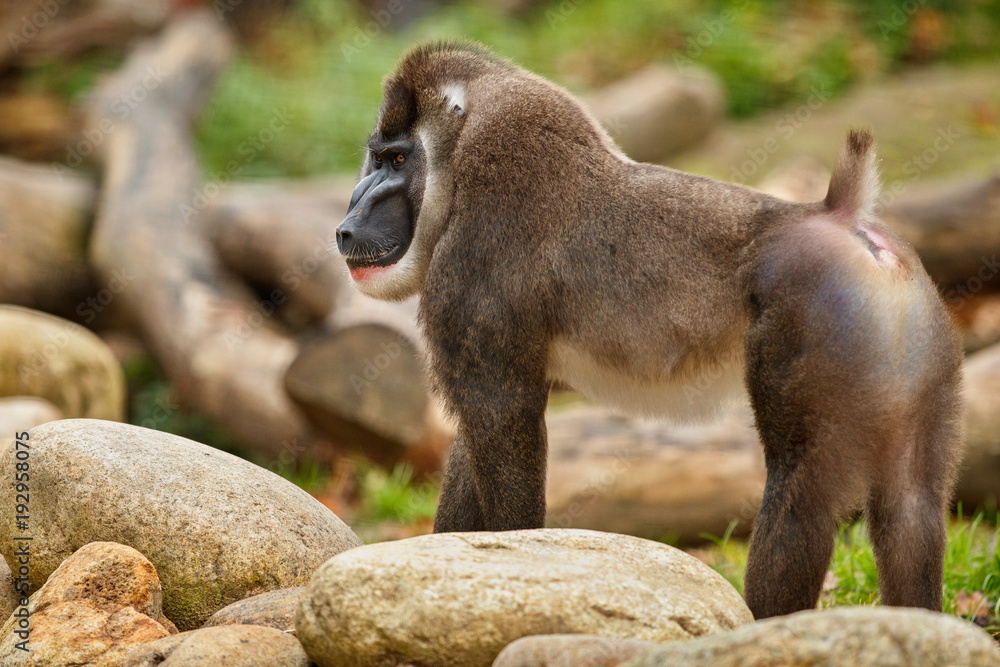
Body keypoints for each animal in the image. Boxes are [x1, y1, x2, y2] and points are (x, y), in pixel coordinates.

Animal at [335, 42, 963, 620]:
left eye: (397, 161)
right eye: (377, 159)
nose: (346, 225)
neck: (460, 156)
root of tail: (840, 216)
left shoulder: (472, 280)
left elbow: (502, 430)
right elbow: (472, 446)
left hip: (812, 331)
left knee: (800, 498)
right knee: (912, 507)